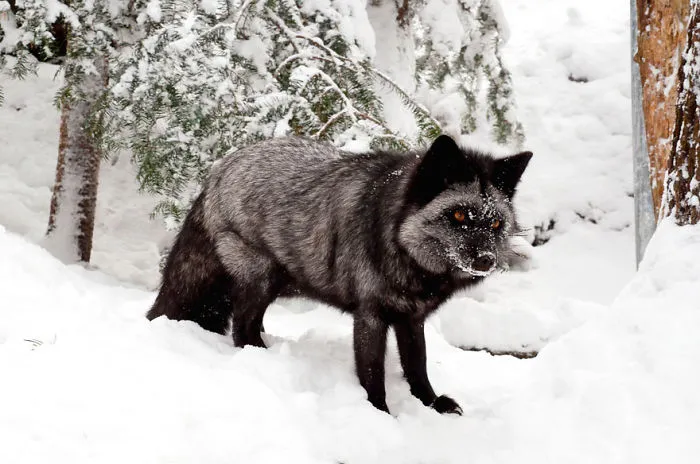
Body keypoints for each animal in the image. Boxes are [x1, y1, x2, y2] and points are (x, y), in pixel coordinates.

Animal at [147, 134, 532, 415]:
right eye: (458, 216)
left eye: (496, 224)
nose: (486, 260)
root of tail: (217, 170)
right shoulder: (370, 315)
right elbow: (373, 372)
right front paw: (379, 416)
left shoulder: (411, 317)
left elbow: (417, 365)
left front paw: (431, 404)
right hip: (261, 275)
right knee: (242, 327)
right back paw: (263, 358)